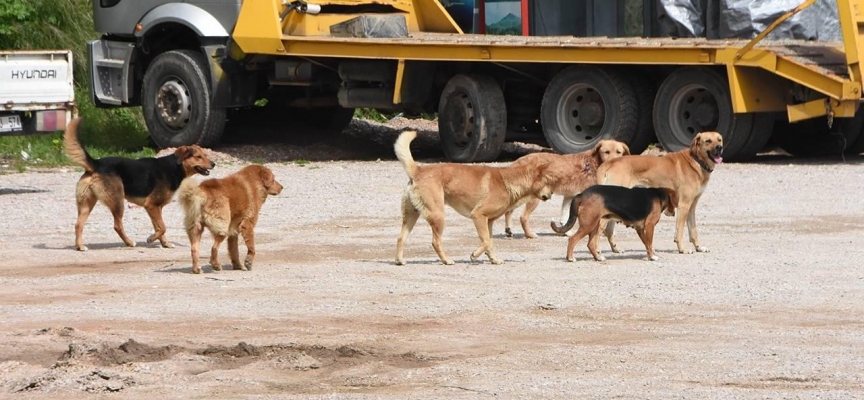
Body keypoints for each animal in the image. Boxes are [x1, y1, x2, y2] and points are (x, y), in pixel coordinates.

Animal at [64, 117, 216, 252]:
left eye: (205, 155)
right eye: (198, 157)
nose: (214, 164)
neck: (175, 166)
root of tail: (96, 164)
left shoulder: (155, 208)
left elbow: (159, 228)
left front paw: (165, 243)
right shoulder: (152, 206)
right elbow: (163, 227)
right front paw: (151, 239)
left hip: (87, 203)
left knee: (78, 224)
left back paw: (80, 246)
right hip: (117, 201)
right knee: (117, 226)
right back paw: (129, 242)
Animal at [394, 131, 552, 266]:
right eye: (546, 181)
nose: (550, 195)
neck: (507, 182)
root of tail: (418, 171)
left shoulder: (489, 221)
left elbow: (489, 242)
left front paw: (493, 259)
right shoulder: (478, 215)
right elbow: (486, 241)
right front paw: (475, 255)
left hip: (411, 215)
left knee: (401, 238)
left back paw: (399, 260)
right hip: (438, 215)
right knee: (435, 242)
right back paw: (446, 260)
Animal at [502, 140, 632, 238]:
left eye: (619, 152)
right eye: (606, 152)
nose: (614, 162)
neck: (593, 163)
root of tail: (517, 162)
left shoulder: (570, 197)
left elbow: (565, 217)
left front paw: (566, 232)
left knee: (509, 211)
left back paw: (509, 230)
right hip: (533, 199)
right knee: (523, 217)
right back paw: (530, 234)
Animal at [552, 185, 680, 262]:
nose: (674, 213)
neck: (659, 195)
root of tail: (582, 194)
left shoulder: (639, 228)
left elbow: (647, 244)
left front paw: (650, 255)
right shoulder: (650, 226)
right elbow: (649, 243)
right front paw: (653, 257)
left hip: (595, 225)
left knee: (591, 244)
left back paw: (598, 257)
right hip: (588, 225)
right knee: (572, 239)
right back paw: (570, 258)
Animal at [592, 131, 724, 253]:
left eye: (719, 139)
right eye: (708, 141)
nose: (719, 147)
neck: (696, 161)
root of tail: (610, 162)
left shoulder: (691, 207)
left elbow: (693, 230)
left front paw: (699, 247)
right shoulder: (684, 205)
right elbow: (680, 232)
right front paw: (682, 249)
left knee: (608, 229)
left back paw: (615, 249)